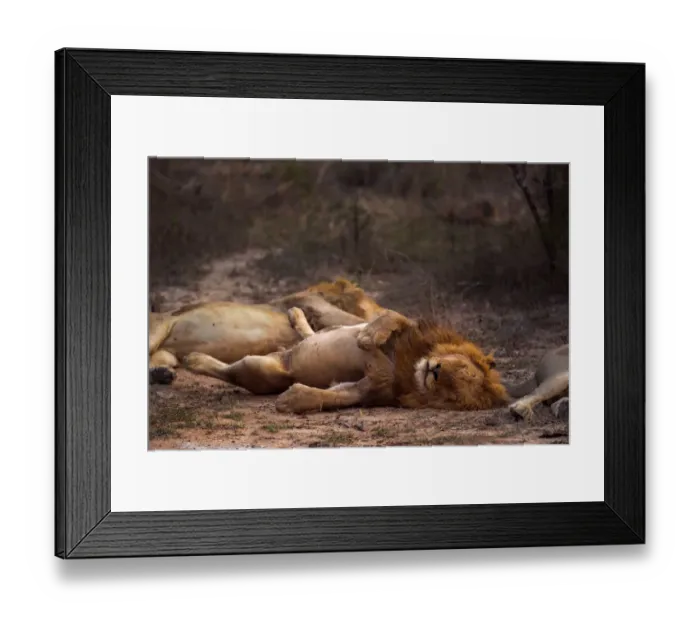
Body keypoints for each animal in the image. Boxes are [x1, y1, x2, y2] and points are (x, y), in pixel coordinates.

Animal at [149, 278, 390, 385]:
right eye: (374, 303)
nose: (383, 308)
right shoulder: (322, 310)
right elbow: (361, 321)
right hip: (159, 326)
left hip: (167, 353)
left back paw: (161, 374)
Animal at [182, 307, 509, 414]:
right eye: (459, 366)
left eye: (453, 392)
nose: (436, 370)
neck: (410, 368)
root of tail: (284, 357)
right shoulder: (410, 329)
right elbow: (392, 316)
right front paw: (367, 337)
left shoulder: (370, 389)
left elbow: (334, 396)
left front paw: (292, 399)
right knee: (314, 333)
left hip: (259, 369)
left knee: (230, 372)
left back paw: (193, 360)